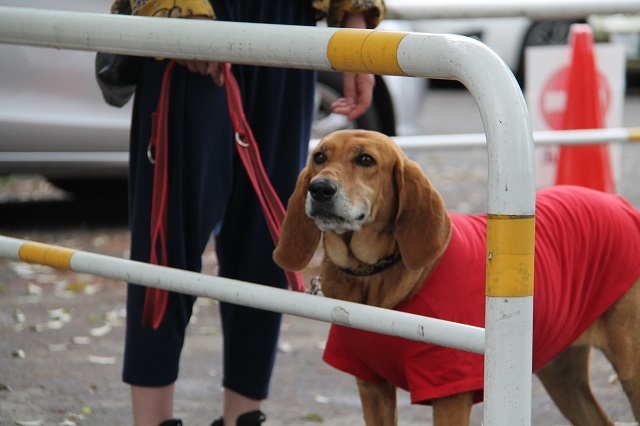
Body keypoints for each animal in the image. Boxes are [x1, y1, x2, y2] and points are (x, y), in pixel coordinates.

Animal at [272, 130, 640, 426]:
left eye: (366, 160)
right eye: (319, 157)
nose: (320, 189)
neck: (374, 280)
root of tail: (622, 204)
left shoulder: (449, 395)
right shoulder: (371, 386)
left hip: (630, 369)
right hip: (561, 374)